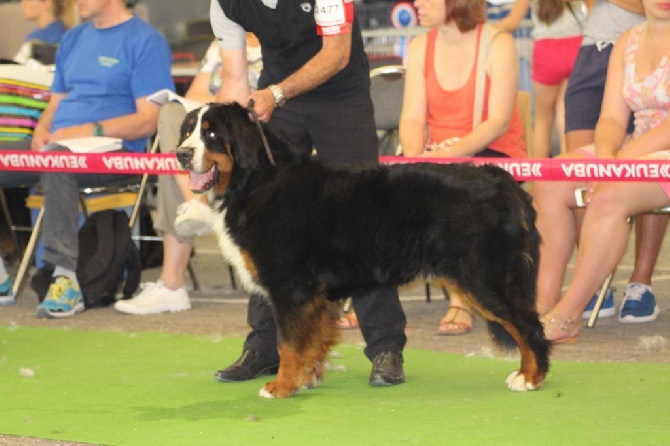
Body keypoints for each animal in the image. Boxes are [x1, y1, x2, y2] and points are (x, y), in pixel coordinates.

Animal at [175, 103, 552, 398]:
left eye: (212, 134)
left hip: (483, 278)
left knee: (528, 325)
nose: (181, 154)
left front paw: (281, 386)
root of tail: (502, 181)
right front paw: (306, 378)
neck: (257, 180)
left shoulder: (290, 287)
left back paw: (530, 378)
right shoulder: (314, 295)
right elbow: (312, 339)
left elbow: (288, 343)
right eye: (188, 131)